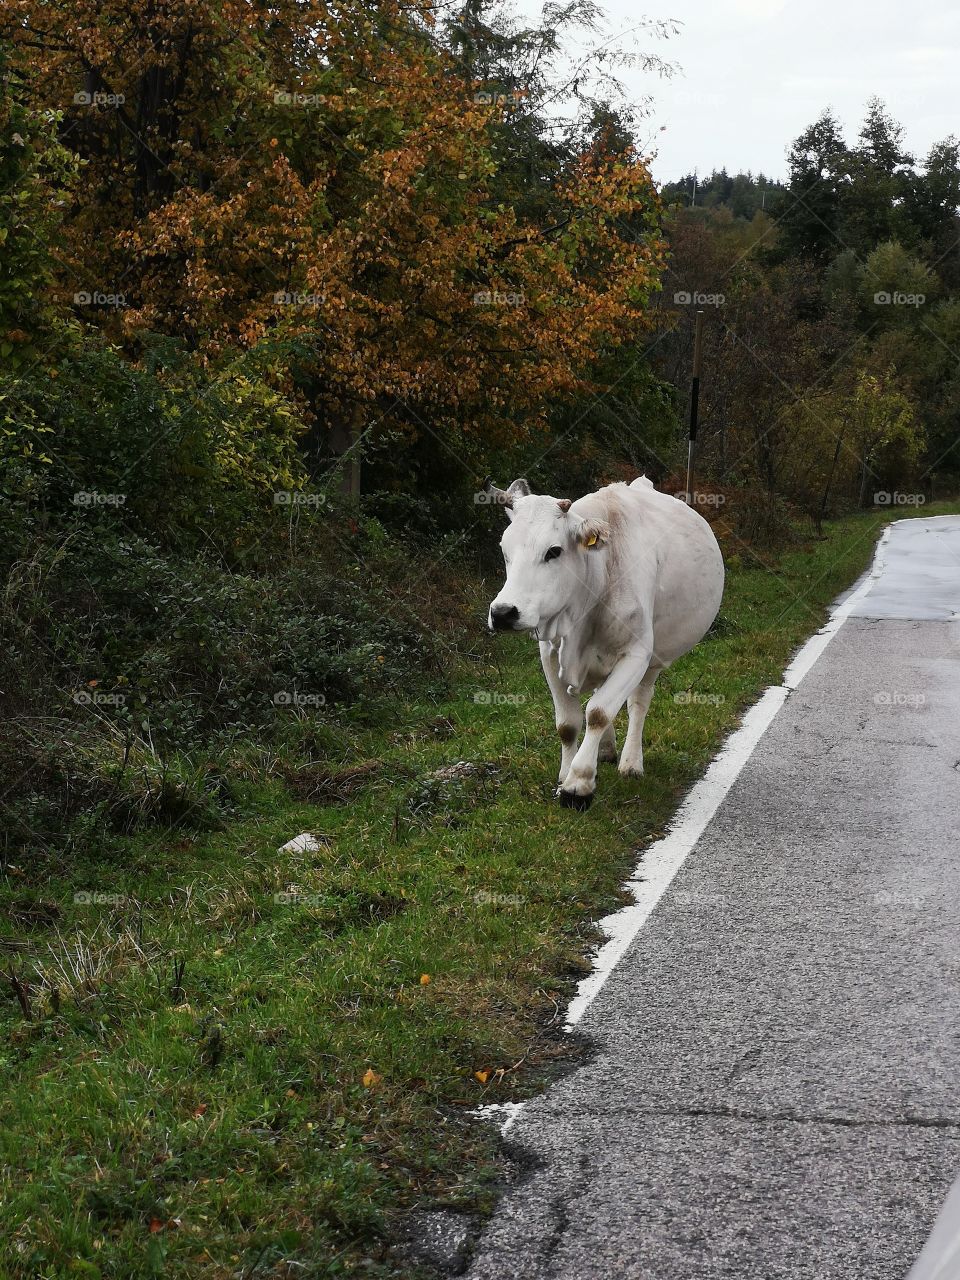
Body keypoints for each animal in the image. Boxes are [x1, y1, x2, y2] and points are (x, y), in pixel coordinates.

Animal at [485, 475, 724, 809]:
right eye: (504, 549)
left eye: (554, 551)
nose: (503, 613)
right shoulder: (549, 653)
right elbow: (568, 723)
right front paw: (565, 775)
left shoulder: (636, 654)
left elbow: (598, 713)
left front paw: (578, 784)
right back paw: (607, 750)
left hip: (654, 658)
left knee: (638, 702)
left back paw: (630, 762)